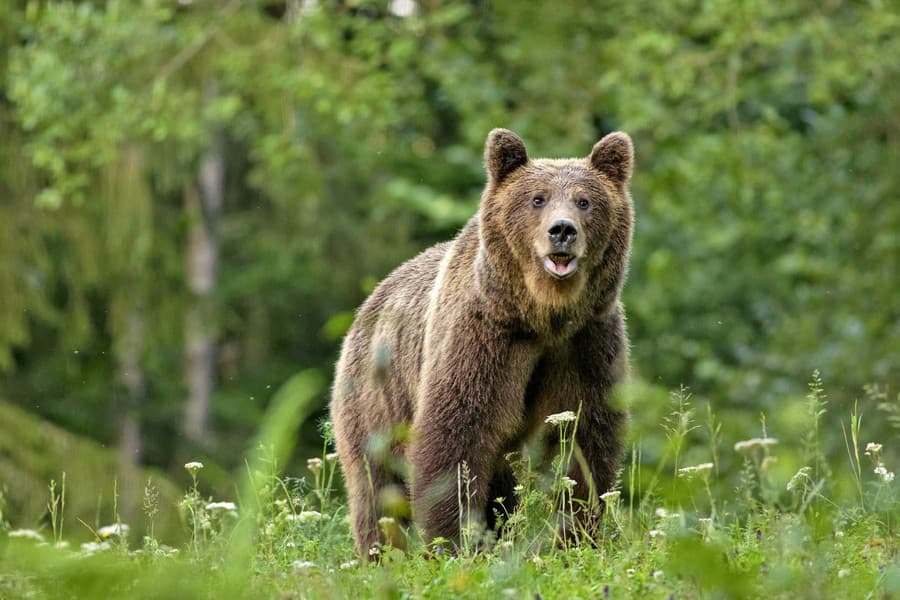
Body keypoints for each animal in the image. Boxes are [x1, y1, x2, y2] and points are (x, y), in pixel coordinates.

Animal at [330, 127, 632, 556]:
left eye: (584, 201)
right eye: (537, 198)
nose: (562, 230)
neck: (542, 316)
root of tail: (370, 301)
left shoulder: (585, 342)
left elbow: (584, 439)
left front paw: (575, 535)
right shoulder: (483, 337)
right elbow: (457, 434)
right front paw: (453, 542)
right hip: (376, 398)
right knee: (377, 488)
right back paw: (382, 553)